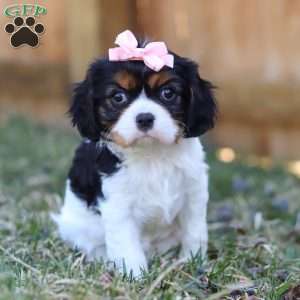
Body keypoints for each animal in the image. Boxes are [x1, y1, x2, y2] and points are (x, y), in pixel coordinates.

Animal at [52, 30, 217, 276]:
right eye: (118, 97)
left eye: (168, 93)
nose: (145, 118)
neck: (152, 155)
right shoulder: (118, 205)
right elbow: (125, 243)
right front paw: (135, 275)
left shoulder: (194, 193)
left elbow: (194, 231)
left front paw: (192, 262)